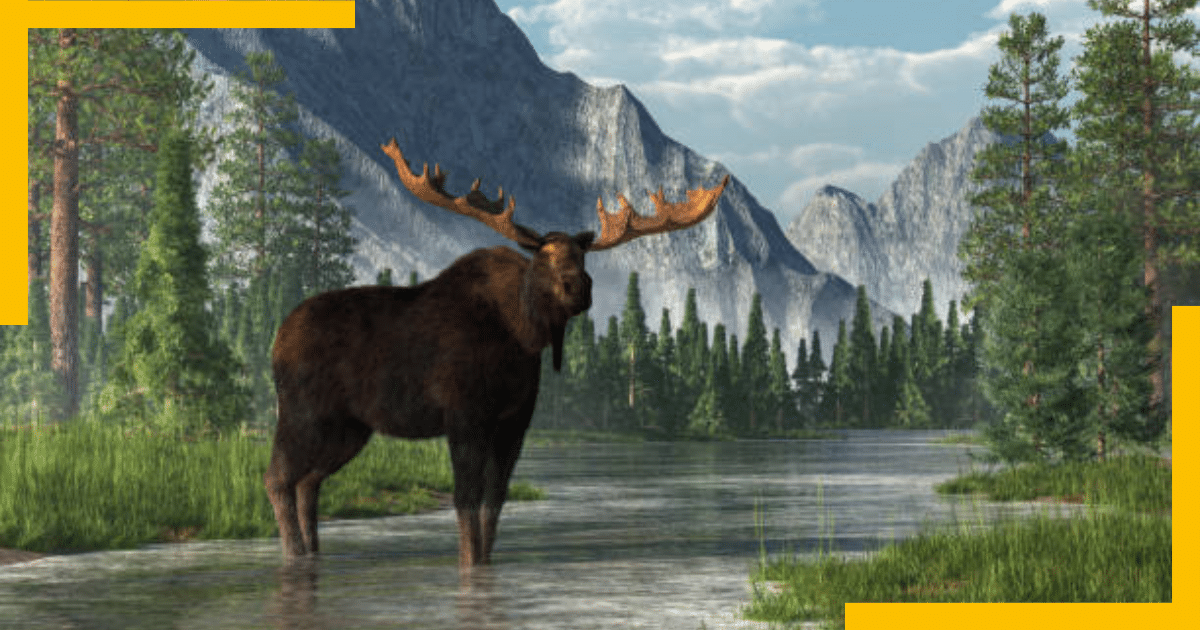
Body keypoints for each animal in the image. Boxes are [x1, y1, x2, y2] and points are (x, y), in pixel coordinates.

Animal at [266, 136, 724, 564]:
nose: (578, 288)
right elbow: (466, 500)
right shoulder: (465, 415)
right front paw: (471, 567)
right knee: (279, 477)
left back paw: (311, 554)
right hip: (304, 412)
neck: (521, 337)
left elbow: (495, 500)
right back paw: (294, 554)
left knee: (309, 481)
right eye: (544, 257)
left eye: (583, 258)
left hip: (351, 428)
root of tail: (277, 338)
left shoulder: (513, 422)